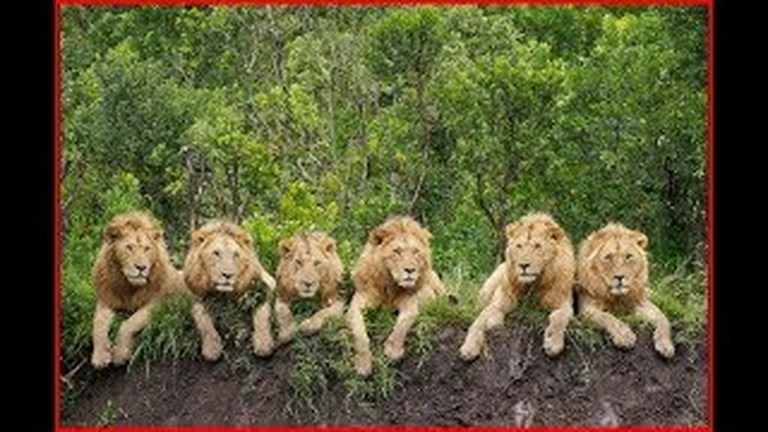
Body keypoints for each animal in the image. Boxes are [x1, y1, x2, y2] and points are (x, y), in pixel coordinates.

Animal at [90, 211, 185, 368]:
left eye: (147, 249)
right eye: (129, 247)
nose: (141, 267)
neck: (128, 287)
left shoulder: (160, 303)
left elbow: (129, 323)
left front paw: (120, 354)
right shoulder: (107, 299)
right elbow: (98, 323)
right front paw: (100, 356)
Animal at [182, 220, 277, 361]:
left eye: (236, 254)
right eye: (216, 253)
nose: (227, 275)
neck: (224, 294)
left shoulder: (266, 286)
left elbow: (262, 313)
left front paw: (264, 344)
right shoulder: (195, 297)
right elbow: (202, 319)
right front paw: (212, 348)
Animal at [346, 216, 446, 376]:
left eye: (416, 252)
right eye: (397, 251)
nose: (410, 270)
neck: (390, 284)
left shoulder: (410, 303)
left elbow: (402, 324)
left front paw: (393, 351)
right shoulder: (357, 303)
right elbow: (359, 333)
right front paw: (363, 363)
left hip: (436, 281)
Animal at [459, 212, 576, 361]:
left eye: (537, 246)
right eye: (519, 246)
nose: (523, 265)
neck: (532, 284)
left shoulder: (563, 301)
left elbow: (559, 317)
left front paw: (553, 344)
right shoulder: (499, 301)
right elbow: (479, 320)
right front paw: (469, 347)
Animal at [575, 223, 674, 358]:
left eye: (628, 256)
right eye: (608, 257)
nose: (619, 277)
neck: (618, 296)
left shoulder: (640, 302)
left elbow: (663, 319)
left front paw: (665, 344)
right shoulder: (587, 308)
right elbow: (608, 317)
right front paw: (624, 336)